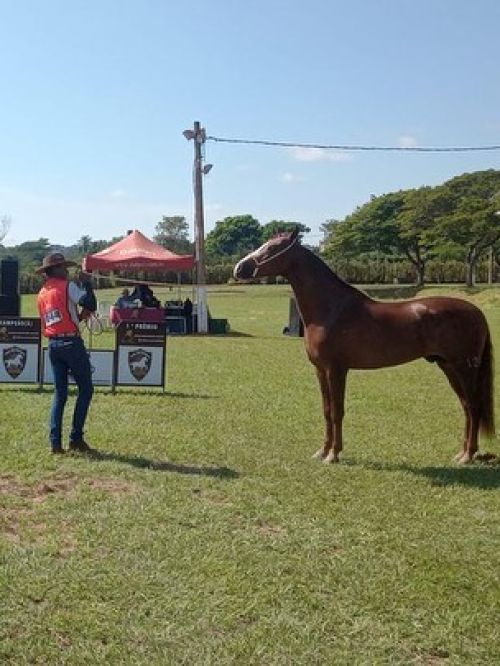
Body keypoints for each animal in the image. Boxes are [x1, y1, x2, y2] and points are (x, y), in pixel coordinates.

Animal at [233, 228, 492, 462]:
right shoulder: (320, 370)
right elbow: (326, 411)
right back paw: (462, 453)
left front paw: (333, 455)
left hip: (464, 368)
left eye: (272, 248)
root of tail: (477, 311)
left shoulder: (337, 370)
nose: (238, 268)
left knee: (474, 406)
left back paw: (468, 455)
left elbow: (337, 411)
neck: (331, 309)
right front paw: (322, 451)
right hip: (448, 366)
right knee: (466, 407)